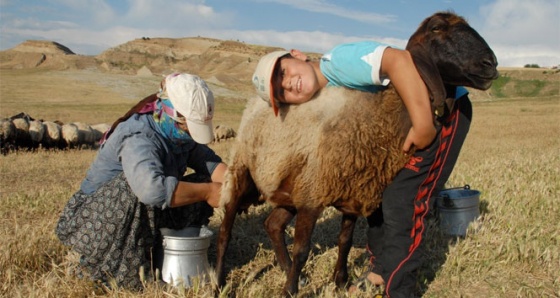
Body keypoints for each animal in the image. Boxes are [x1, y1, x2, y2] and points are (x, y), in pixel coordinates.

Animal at [214, 11, 498, 296]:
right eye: (437, 28)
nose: (491, 63)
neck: (378, 114)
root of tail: (253, 103)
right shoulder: (313, 197)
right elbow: (302, 250)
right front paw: (290, 291)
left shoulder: (353, 192)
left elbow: (345, 242)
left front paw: (340, 281)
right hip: (242, 175)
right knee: (226, 232)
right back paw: (219, 283)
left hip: (291, 190)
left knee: (272, 224)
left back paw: (290, 272)